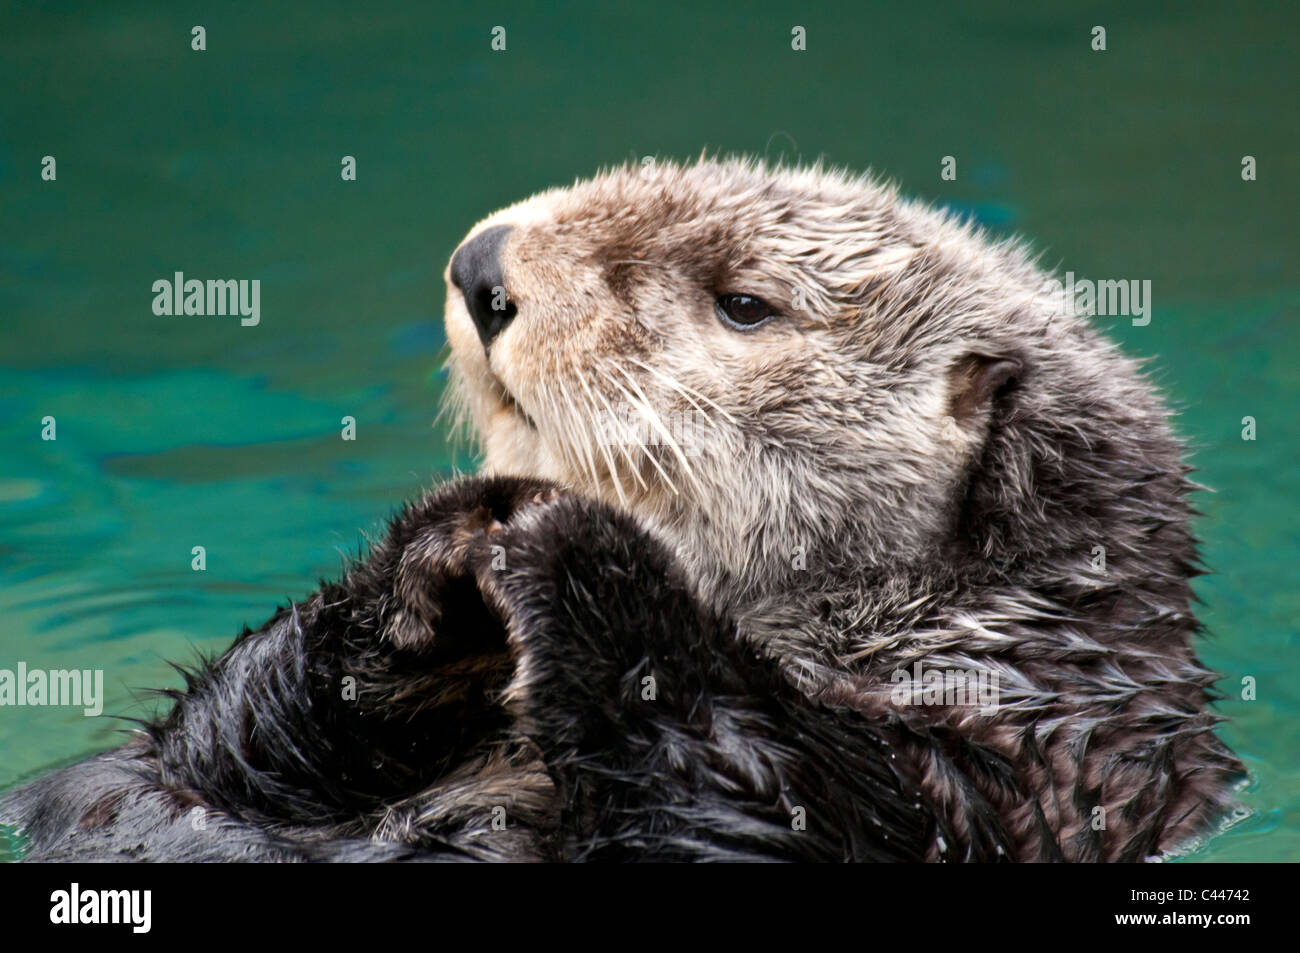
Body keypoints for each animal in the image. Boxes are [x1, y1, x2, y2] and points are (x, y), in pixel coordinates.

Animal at [0, 157, 1242, 863]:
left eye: (744, 303)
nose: (481, 265)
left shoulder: (1020, 780)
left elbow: (753, 811)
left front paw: (571, 547)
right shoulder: (181, 778)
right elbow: (193, 754)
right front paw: (444, 551)